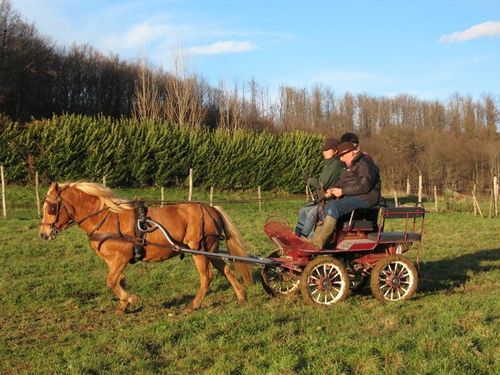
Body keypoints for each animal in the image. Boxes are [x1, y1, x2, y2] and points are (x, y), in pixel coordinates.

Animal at [38, 182, 254, 314]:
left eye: (52, 208)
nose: (43, 234)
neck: (107, 217)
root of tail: (211, 209)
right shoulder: (113, 260)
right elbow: (118, 280)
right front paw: (123, 306)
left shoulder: (122, 257)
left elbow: (111, 281)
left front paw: (132, 299)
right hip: (211, 250)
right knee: (226, 270)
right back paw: (242, 297)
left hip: (199, 249)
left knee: (206, 277)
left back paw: (193, 305)